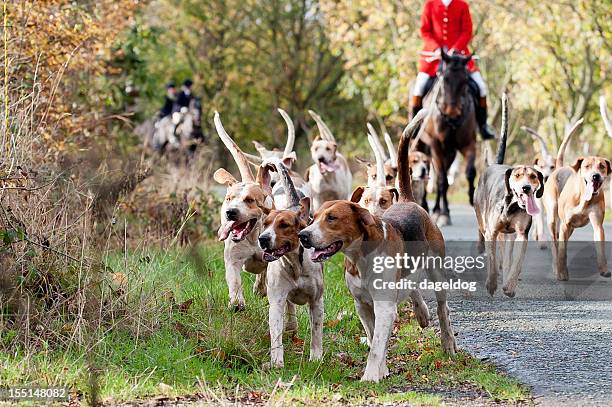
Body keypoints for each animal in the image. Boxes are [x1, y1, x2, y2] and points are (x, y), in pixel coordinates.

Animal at [416, 50, 478, 226]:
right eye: (444, 79)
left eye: (465, 81)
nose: (453, 114)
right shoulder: (436, 145)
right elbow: (443, 179)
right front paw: (444, 215)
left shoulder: (469, 144)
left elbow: (470, 172)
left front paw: (471, 197)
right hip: (424, 147)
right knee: (429, 176)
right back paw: (428, 206)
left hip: (449, 153)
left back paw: (438, 209)